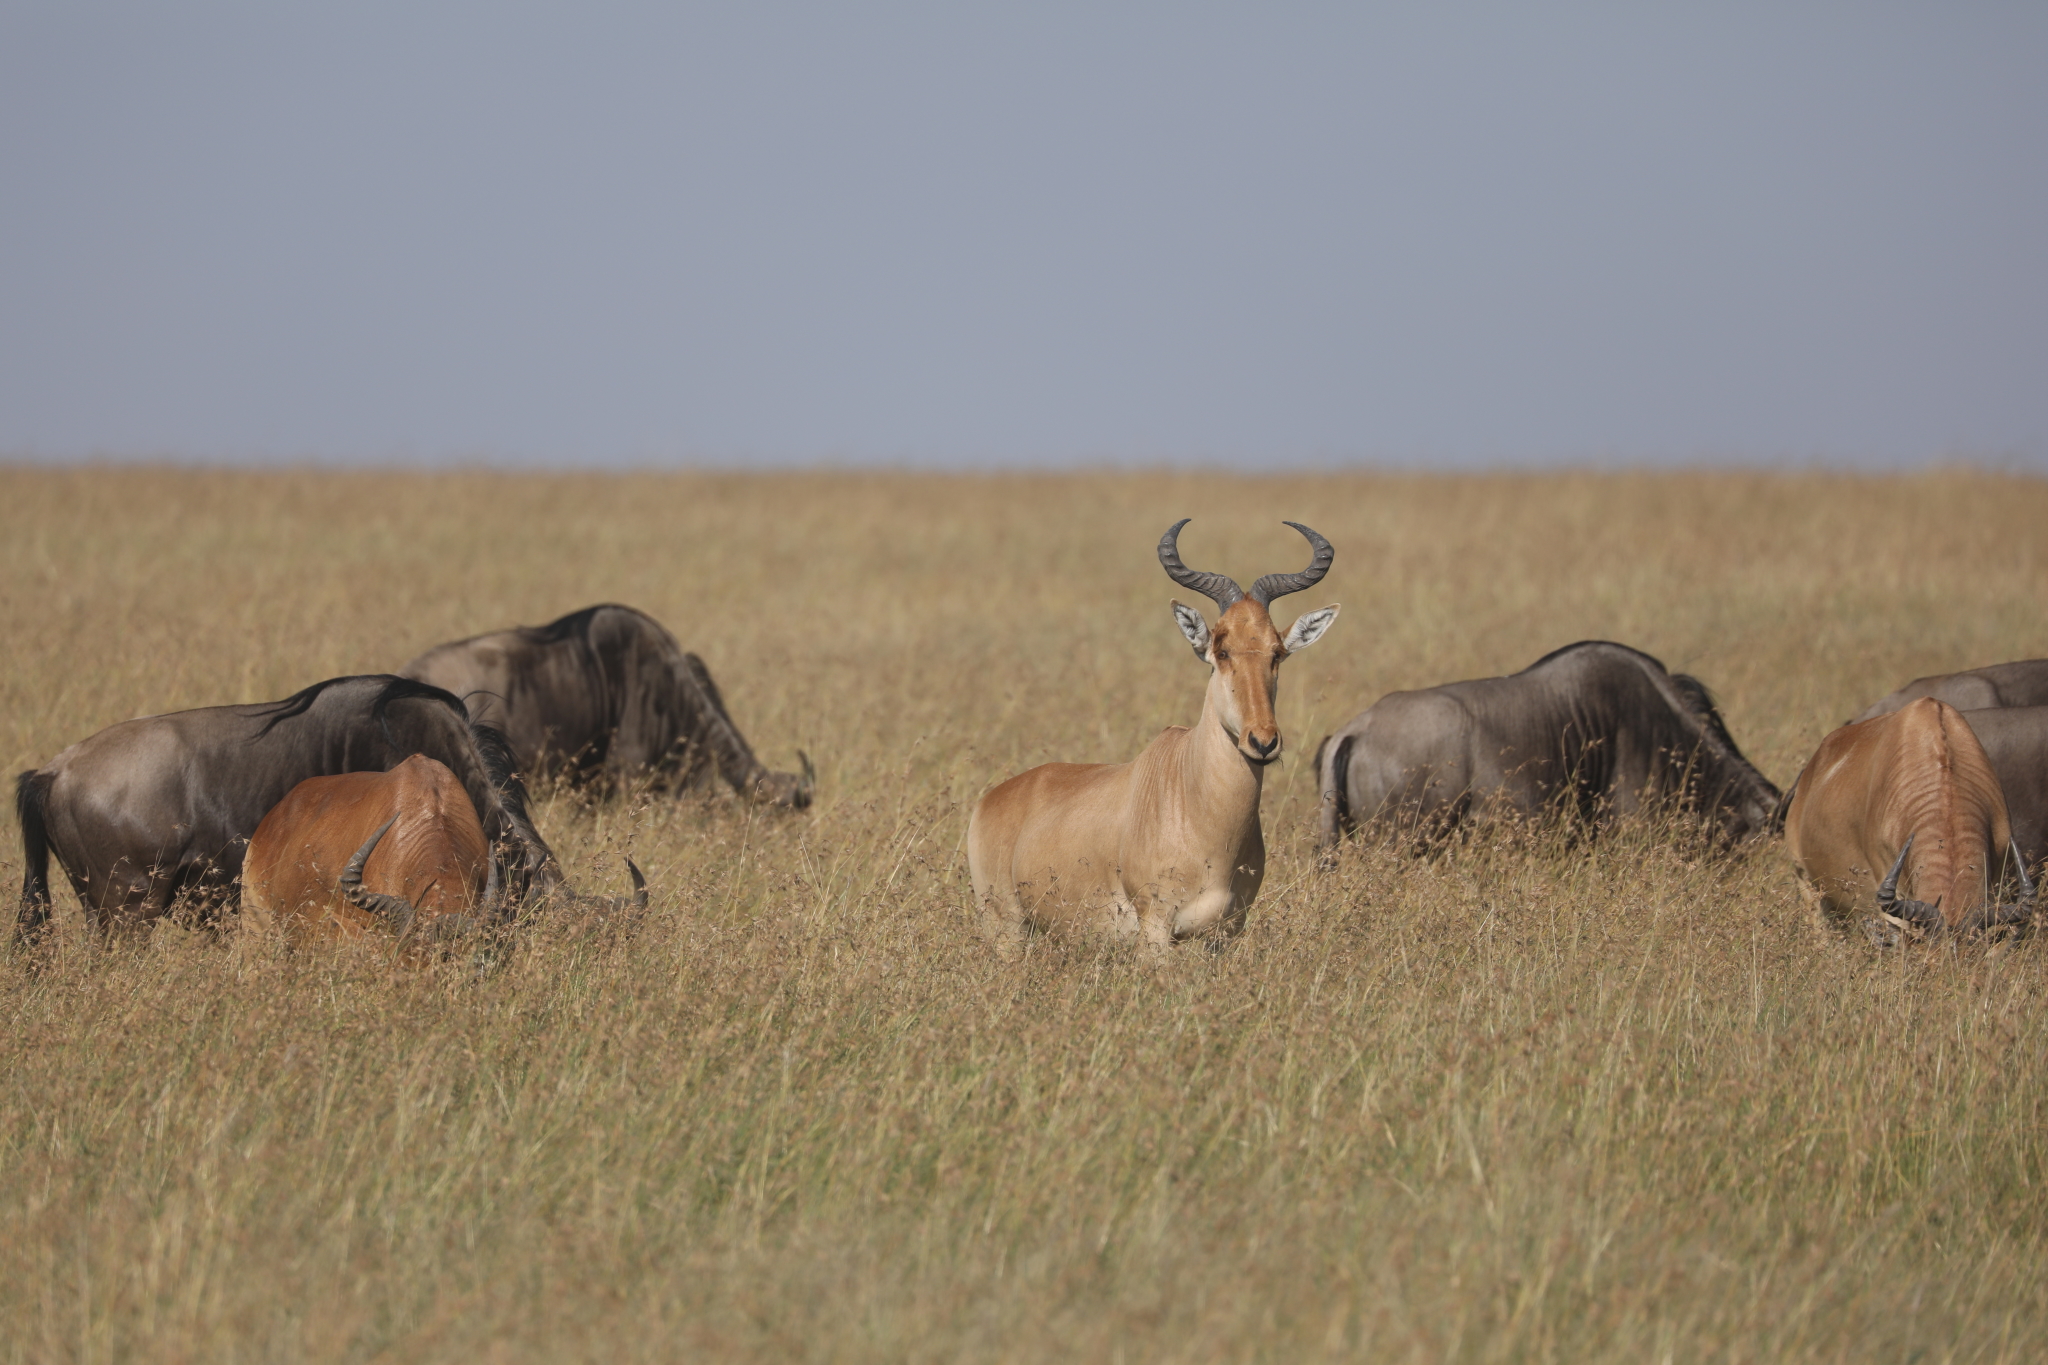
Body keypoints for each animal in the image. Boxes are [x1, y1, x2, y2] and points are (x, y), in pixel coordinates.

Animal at [966, 517, 1335, 957]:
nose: (1262, 742)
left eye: (1276, 652)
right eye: (1220, 649)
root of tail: (991, 800)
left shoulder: (1225, 933)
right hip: (1004, 927)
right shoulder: (1155, 927)